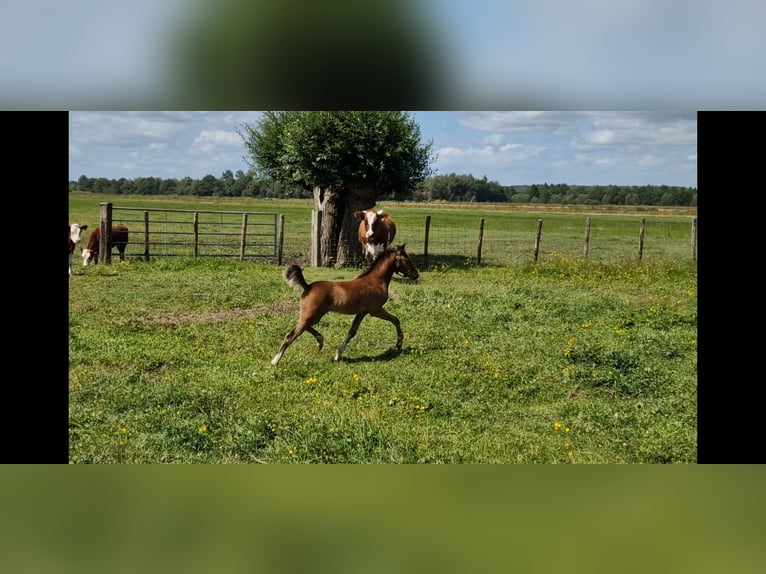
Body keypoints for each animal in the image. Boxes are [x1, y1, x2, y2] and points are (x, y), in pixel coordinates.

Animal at [272, 245, 420, 366]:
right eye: (407, 259)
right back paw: (275, 361)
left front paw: (337, 355)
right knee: (291, 335)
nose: (416, 274)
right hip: (312, 314)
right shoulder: (375, 310)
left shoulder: (362, 312)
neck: (375, 281)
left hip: (313, 315)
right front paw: (399, 344)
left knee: (301, 327)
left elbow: (352, 332)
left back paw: (320, 342)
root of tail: (308, 286)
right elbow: (395, 319)